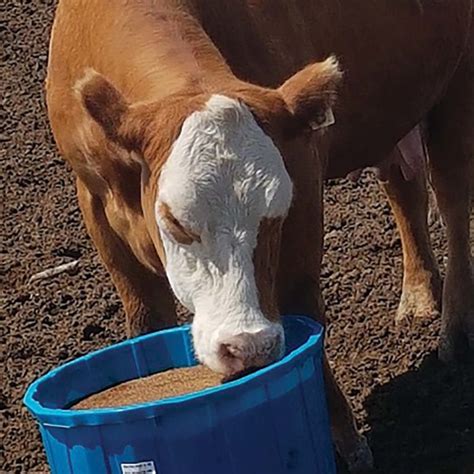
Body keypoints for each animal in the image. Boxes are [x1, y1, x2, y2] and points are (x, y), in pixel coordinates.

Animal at [45, 0, 474, 470]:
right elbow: (145, 321)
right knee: (404, 189)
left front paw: (346, 440)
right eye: (174, 222)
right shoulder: (96, 206)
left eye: (276, 215)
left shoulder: (303, 176)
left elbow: (301, 306)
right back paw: (419, 297)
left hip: (457, 89)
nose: (247, 345)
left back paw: (455, 331)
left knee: (453, 204)